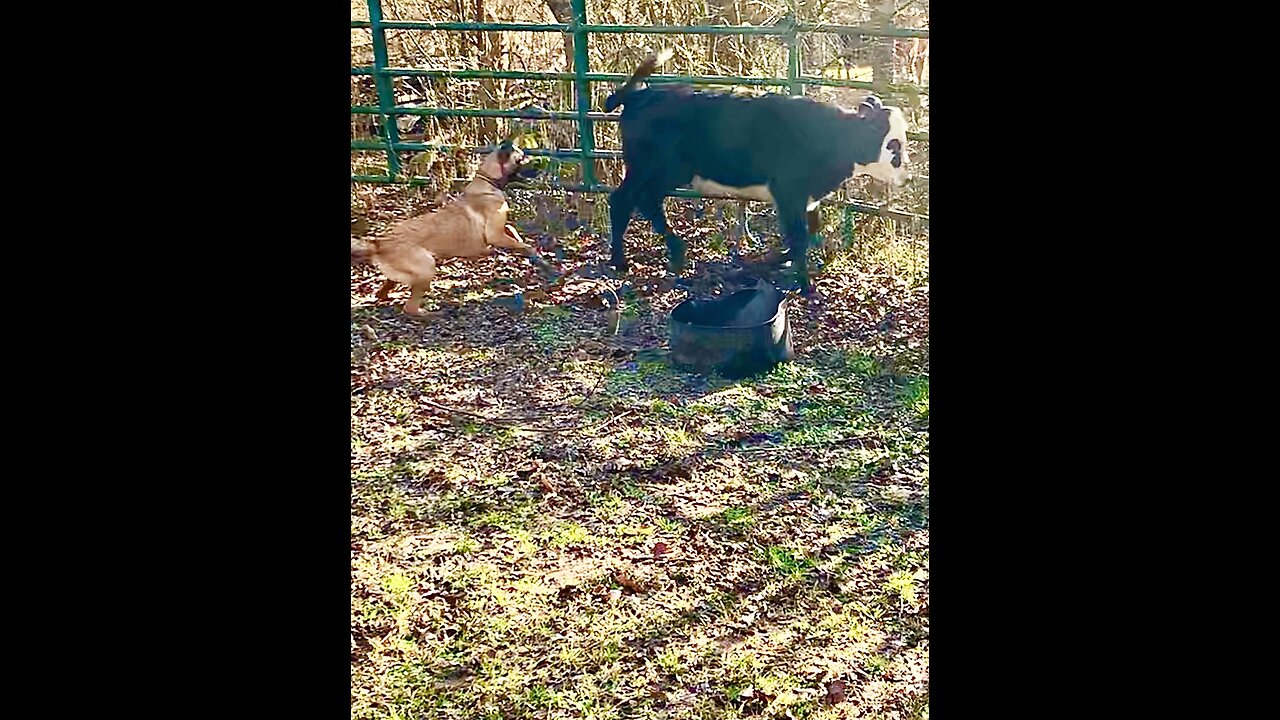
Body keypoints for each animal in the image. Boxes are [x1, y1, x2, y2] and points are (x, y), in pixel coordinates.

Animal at [350, 141, 550, 315]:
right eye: (522, 158)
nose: (541, 165)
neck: (488, 181)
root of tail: (378, 242)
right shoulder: (494, 234)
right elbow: (522, 243)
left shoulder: (501, 229)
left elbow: (515, 234)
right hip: (427, 266)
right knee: (410, 307)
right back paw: (433, 313)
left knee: (384, 291)